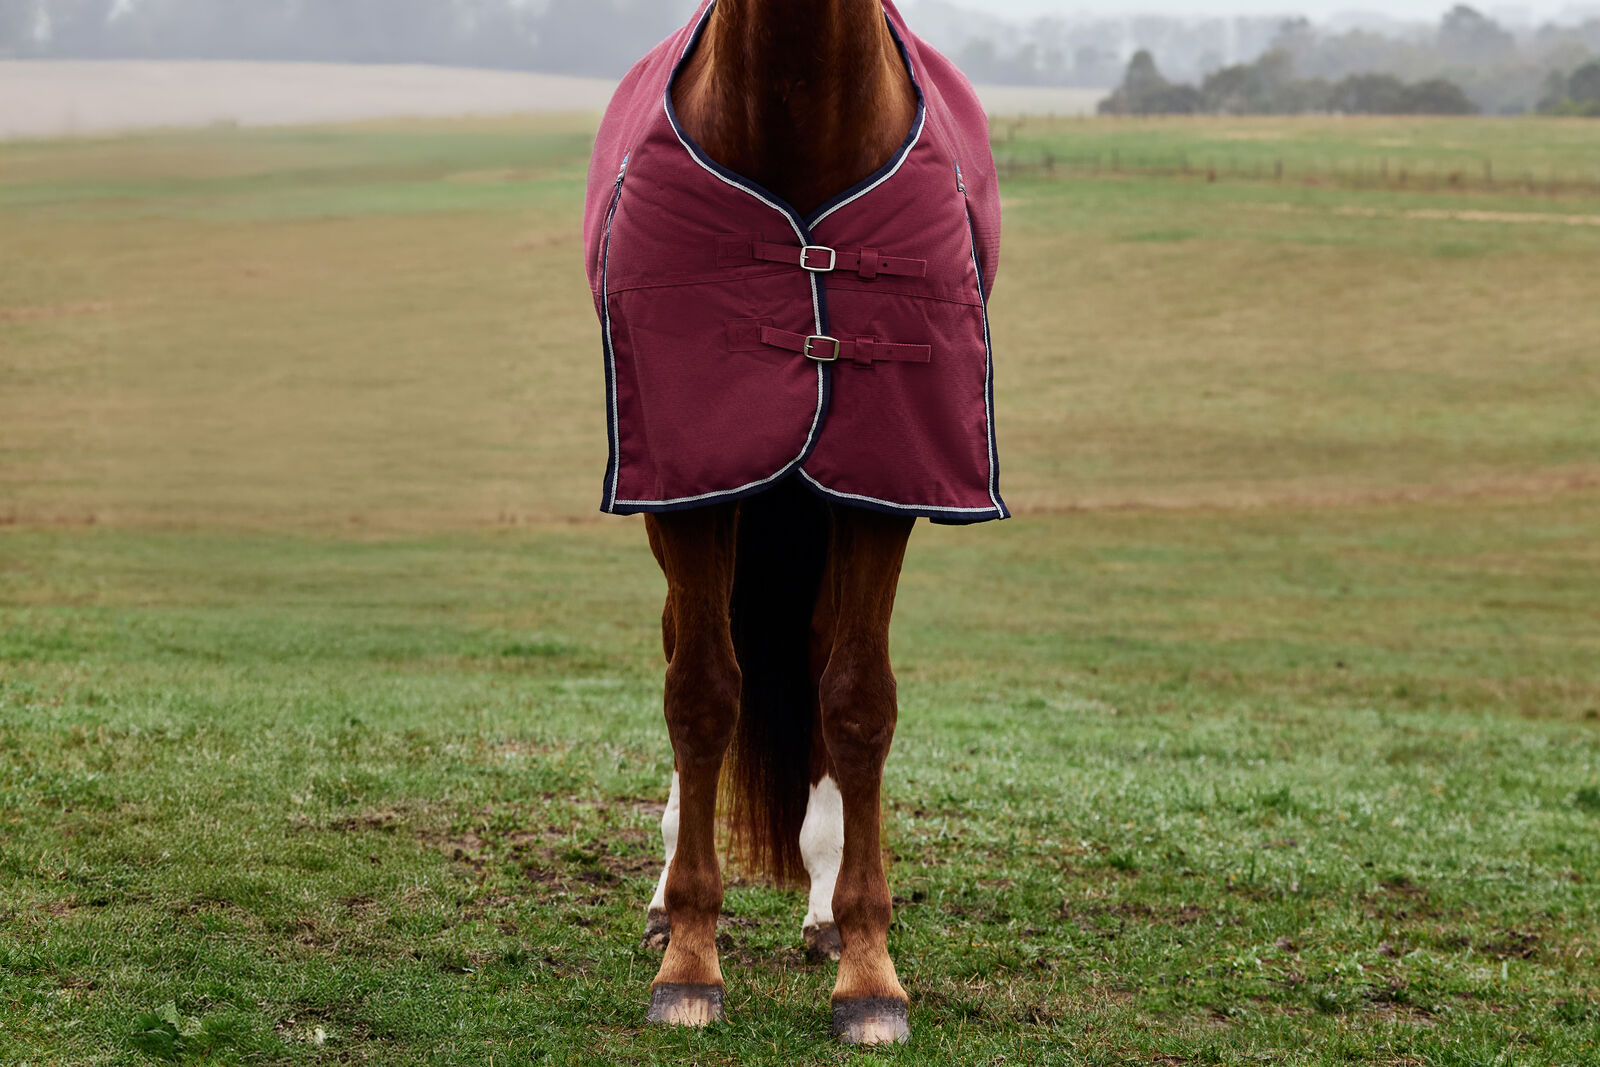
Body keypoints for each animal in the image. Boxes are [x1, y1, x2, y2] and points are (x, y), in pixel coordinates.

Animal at [582, 0, 1005, 1045]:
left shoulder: (879, 485)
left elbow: (857, 702)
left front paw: (869, 971)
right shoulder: (694, 484)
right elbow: (701, 695)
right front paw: (691, 960)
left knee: (817, 661)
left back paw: (819, 909)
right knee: (685, 648)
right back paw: (664, 901)